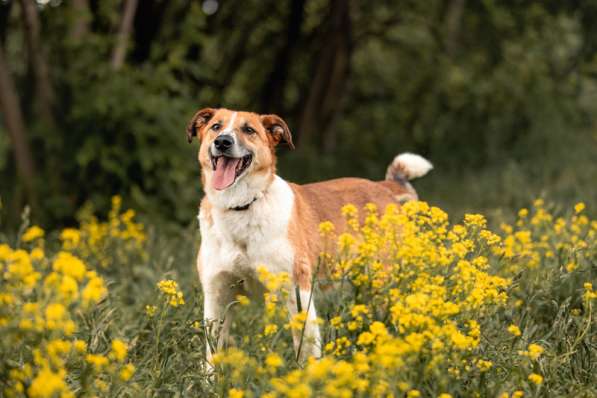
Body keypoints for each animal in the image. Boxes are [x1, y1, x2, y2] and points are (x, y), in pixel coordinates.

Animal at [184, 106, 430, 364]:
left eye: (249, 130)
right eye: (216, 127)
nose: (222, 142)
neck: (241, 208)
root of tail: (382, 187)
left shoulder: (298, 291)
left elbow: (306, 350)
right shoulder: (217, 295)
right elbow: (212, 354)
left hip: (385, 283)